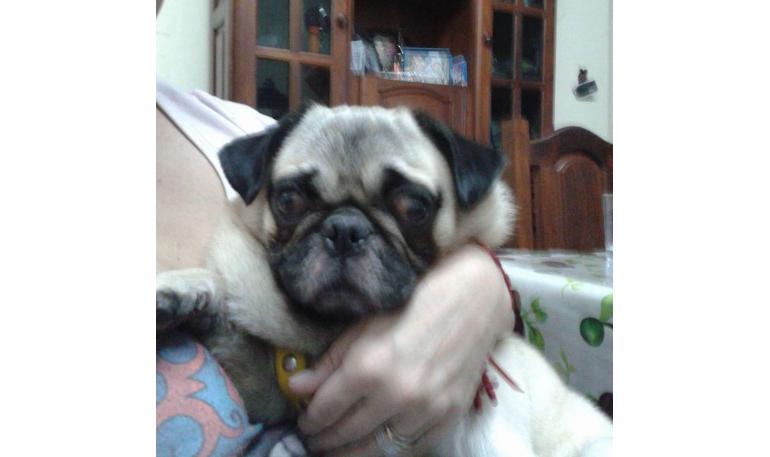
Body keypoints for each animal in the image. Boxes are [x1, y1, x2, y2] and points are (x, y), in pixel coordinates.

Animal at [156, 104, 612, 456]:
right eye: (288, 200)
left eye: (414, 208)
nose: (344, 228)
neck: (331, 333)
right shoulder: (266, 392)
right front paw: (185, 290)